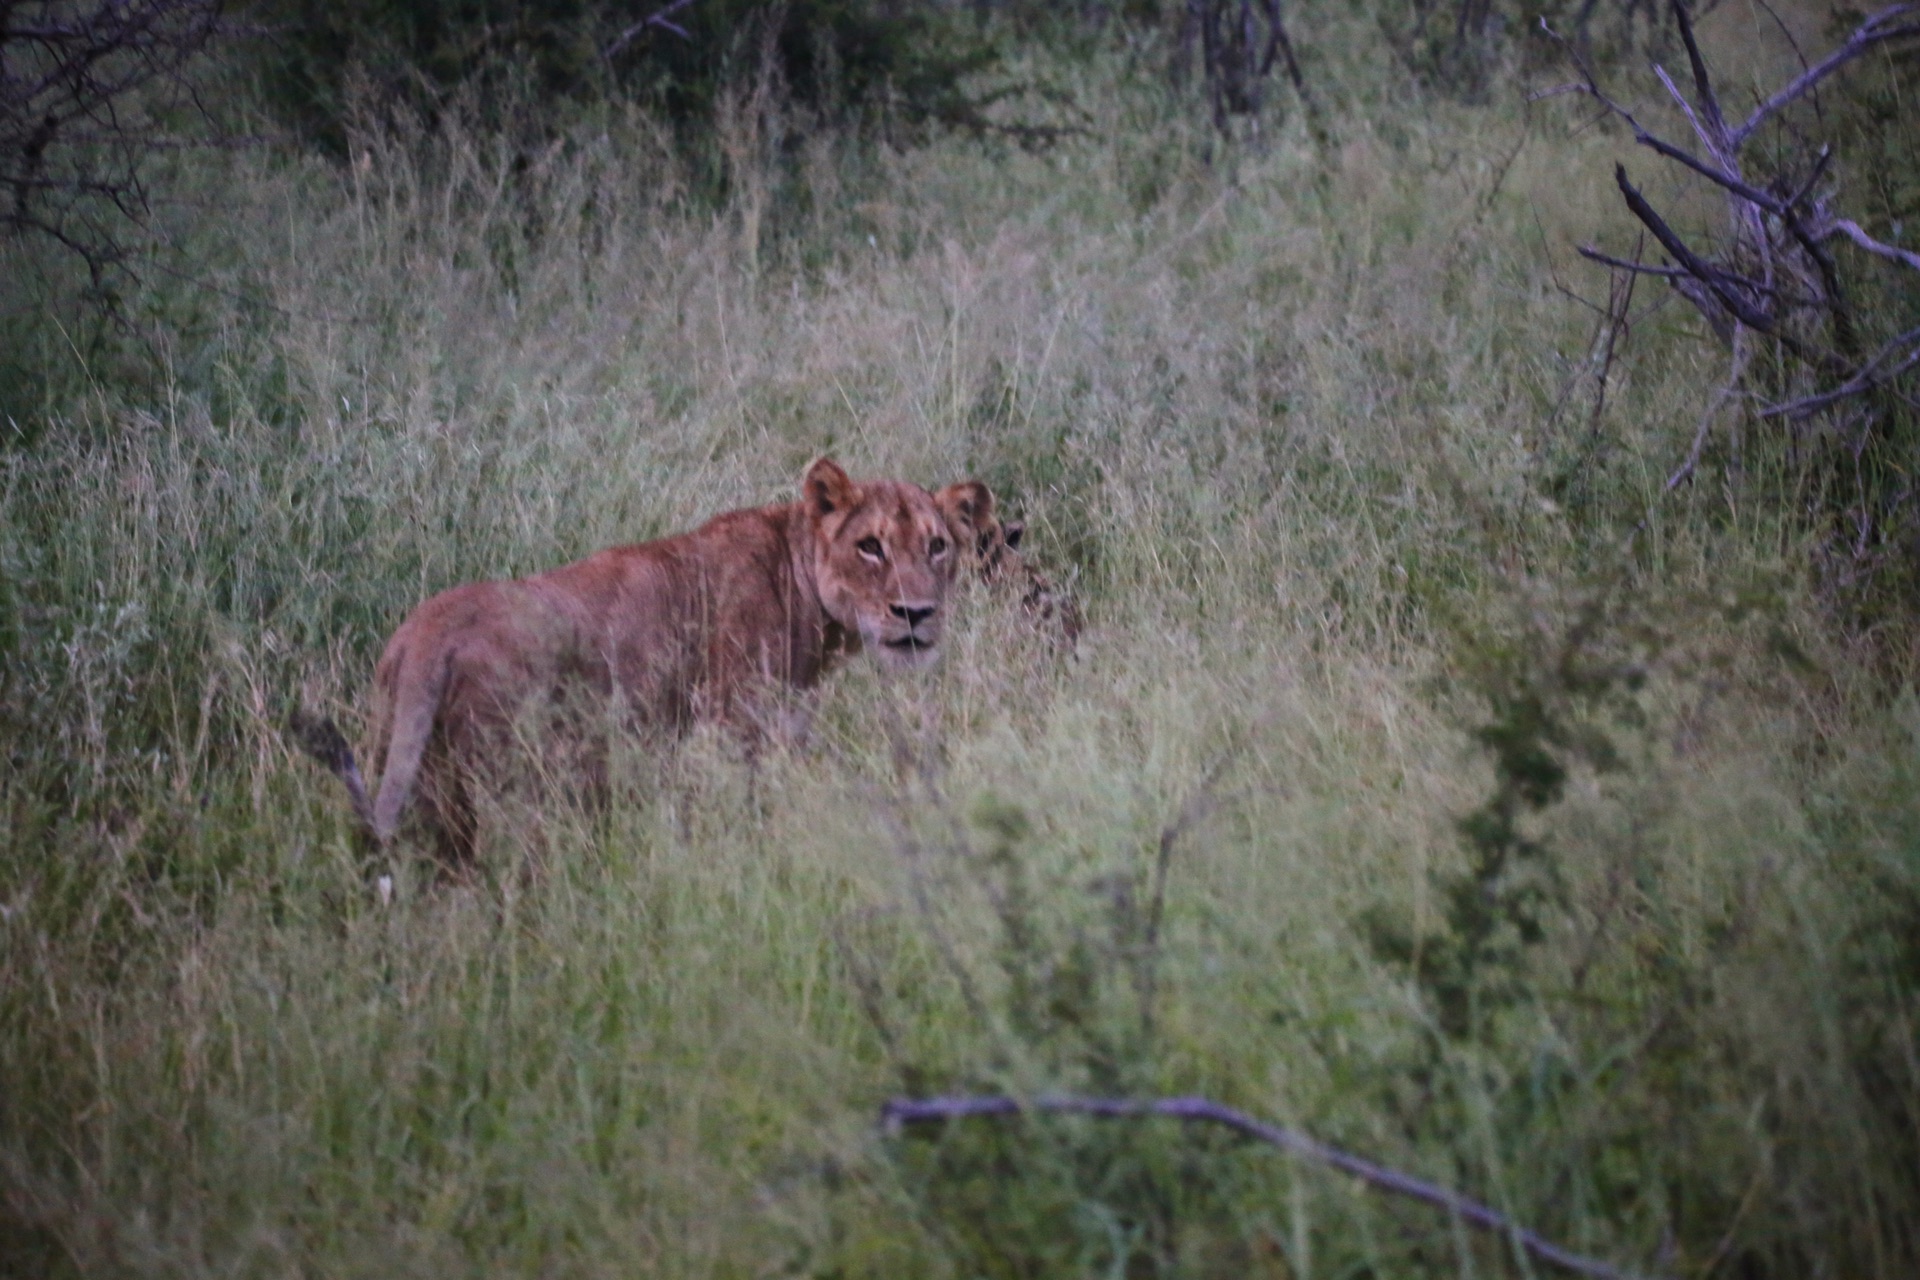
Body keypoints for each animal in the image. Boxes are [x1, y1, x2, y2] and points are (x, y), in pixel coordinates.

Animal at [299, 460, 983, 871]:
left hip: (412, 770)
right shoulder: (739, 733)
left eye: (936, 545)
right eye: (869, 547)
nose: (915, 612)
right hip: (513, 784)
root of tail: (429, 630)